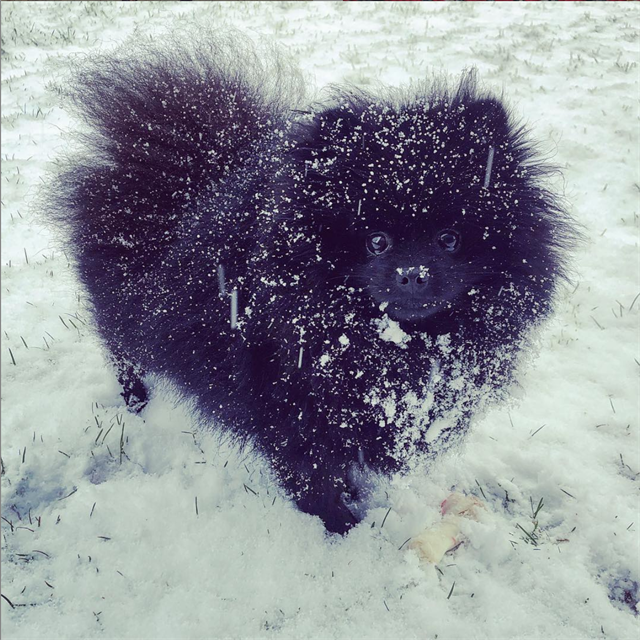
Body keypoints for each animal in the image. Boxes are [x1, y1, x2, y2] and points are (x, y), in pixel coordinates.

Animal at [48, 36, 580, 536]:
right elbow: (311, 478)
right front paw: (342, 529)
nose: (413, 274)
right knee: (123, 353)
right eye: (377, 240)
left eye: (448, 238)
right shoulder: (288, 410)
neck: (386, 349)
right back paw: (137, 399)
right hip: (121, 320)